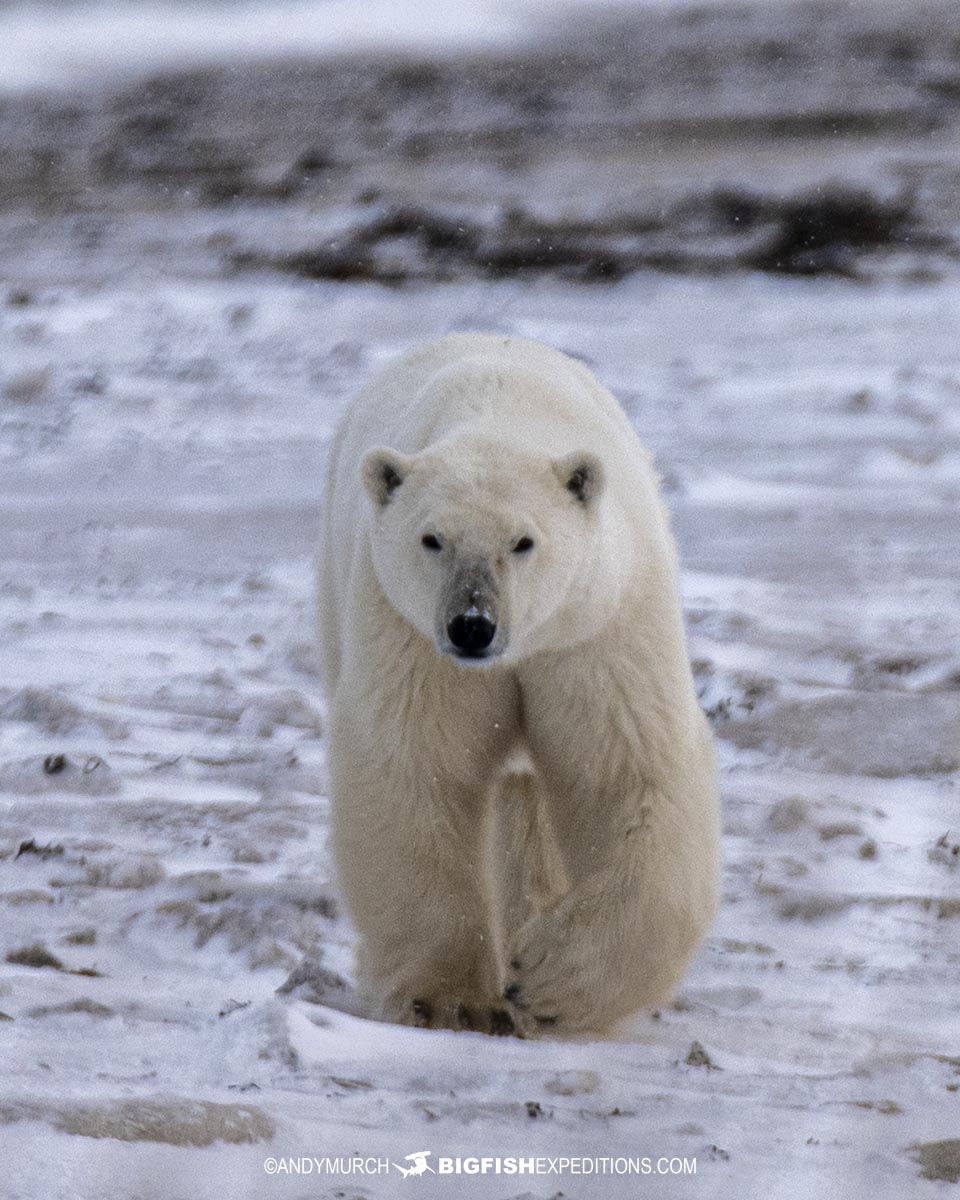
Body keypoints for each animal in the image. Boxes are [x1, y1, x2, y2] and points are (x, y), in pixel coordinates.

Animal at [319, 333, 715, 1036]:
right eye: (432, 539)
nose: (472, 626)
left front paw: (550, 980)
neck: (500, 413)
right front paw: (447, 999)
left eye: (523, 541)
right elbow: (416, 765)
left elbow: (626, 769)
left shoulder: (594, 628)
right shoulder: (409, 637)